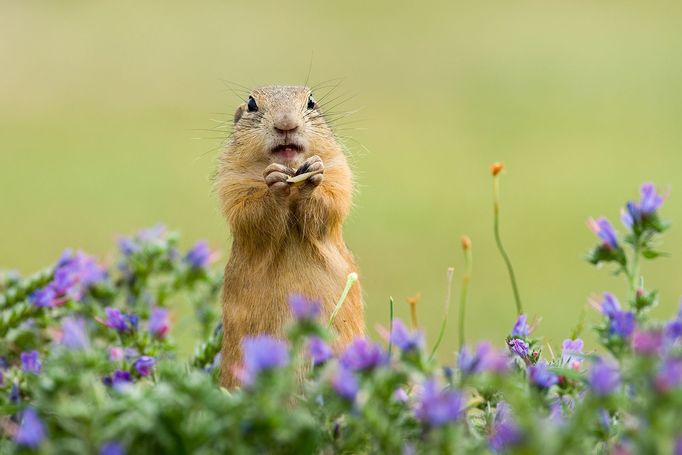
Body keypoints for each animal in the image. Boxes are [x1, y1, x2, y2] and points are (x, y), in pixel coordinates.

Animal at [215, 83, 364, 386]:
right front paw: (274, 182)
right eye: (251, 104)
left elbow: (331, 200)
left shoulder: (338, 170)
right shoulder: (232, 181)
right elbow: (249, 212)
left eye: (311, 102)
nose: (286, 124)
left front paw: (312, 176)